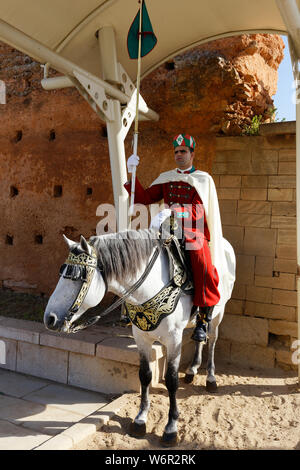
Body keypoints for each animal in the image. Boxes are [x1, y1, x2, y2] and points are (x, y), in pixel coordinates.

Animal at [43, 229, 234, 446]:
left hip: (219, 314)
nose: (50, 318)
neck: (151, 287)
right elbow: (145, 375)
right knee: (199, 338)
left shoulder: (174, 340)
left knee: (212, 340)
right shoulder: (141, 338)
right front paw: (140, 419)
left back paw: (210, 377)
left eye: (79, 277)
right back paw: (192, 369)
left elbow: (171, 380)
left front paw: (171, 428)